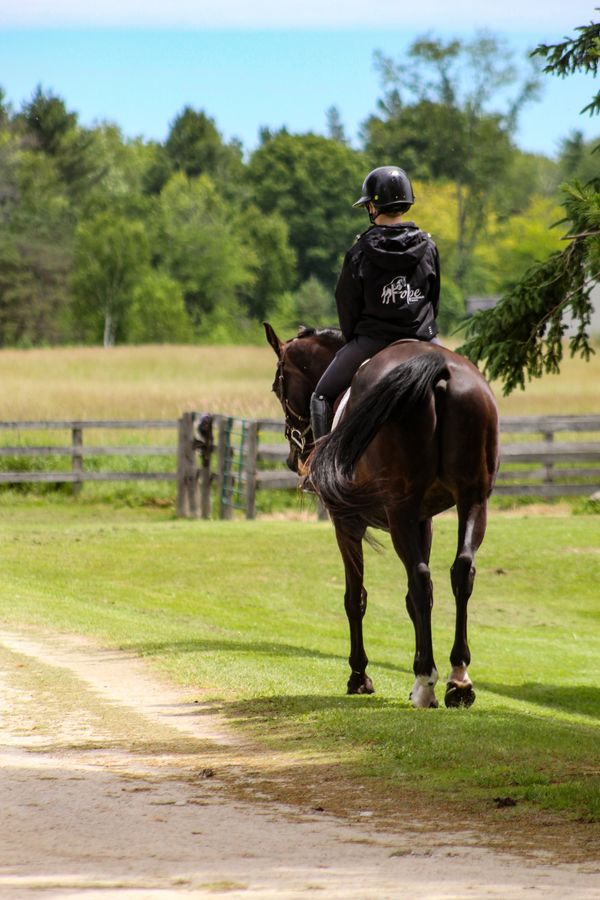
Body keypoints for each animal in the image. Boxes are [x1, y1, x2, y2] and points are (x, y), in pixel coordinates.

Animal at [264, 322, 499, 709]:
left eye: (277, 386)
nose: (291, 456)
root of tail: (439, 371)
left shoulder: (347, 523)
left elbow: (354, 597)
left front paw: (359, 676)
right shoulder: (423, 520)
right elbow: (414, 601)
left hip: (398, 508)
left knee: (420, 578)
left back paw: (425, 684)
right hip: (473, 501)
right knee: (460, 572)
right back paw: (457, 679)